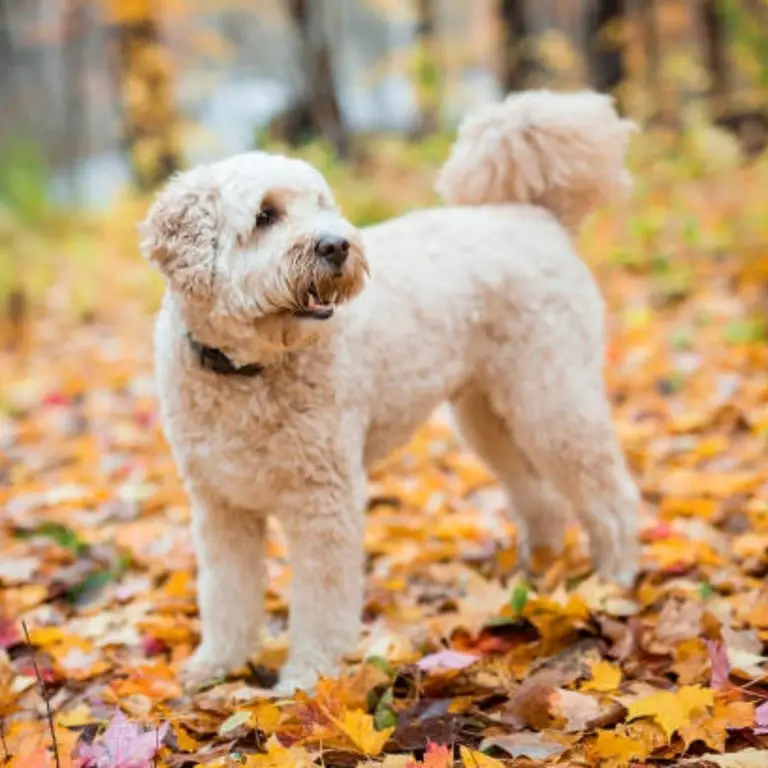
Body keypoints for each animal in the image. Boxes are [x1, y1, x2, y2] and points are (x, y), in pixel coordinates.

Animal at [140, 88, 640, 688]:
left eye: (322, 205)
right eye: (265, 215)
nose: (336, 245)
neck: (246, 373)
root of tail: (536, 215)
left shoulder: (324, 498)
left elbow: (322, 599)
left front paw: (309, 675)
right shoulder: (220, 508)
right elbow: (226, 595)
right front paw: (217, 664)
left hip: (551, 397)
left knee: (609, 493)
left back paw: (614, 579)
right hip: (488, 415)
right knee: (540, 498)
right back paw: (534, 575)